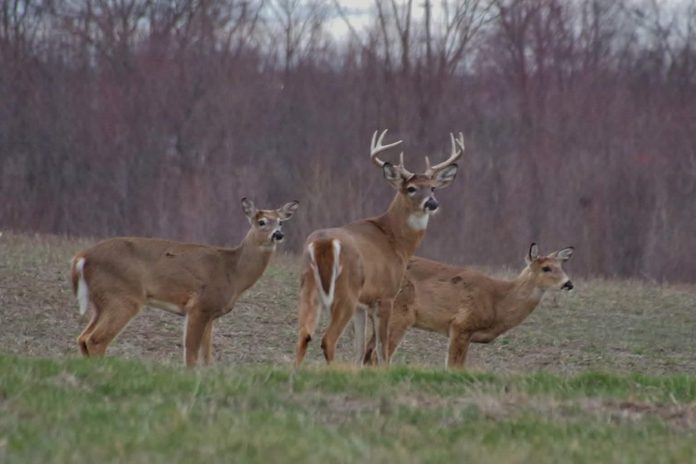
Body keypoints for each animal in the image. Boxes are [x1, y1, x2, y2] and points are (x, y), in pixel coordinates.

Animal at [70, 198, 299, 367]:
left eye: (280, 222)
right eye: (261, 222)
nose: (278, 234)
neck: (233, 272)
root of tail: (82, 257)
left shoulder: (211, 313)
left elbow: (206, 357)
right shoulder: (199, 306)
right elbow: (191, 353)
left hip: (101, 301)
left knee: (83, 337)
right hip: (123, 297)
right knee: (96, 339)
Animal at [295, 130, 464, 367]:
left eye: (432, 187)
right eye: (411, 188)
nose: (432, 203)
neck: (396, 241)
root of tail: (323, 243)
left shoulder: (362, 304)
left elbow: (359, 350)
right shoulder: (386, 295)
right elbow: (381, 349)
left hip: (308, 286)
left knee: (303, 335)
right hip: (345, 291)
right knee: (327, 339)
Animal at [366, 243, 574, 368]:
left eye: (561, 266)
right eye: (546, 268)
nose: (568, 283)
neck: (498, 301)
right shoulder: (461, 325)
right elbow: (453, 366)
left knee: (368, 355)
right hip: (399, 313)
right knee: (378, 355)